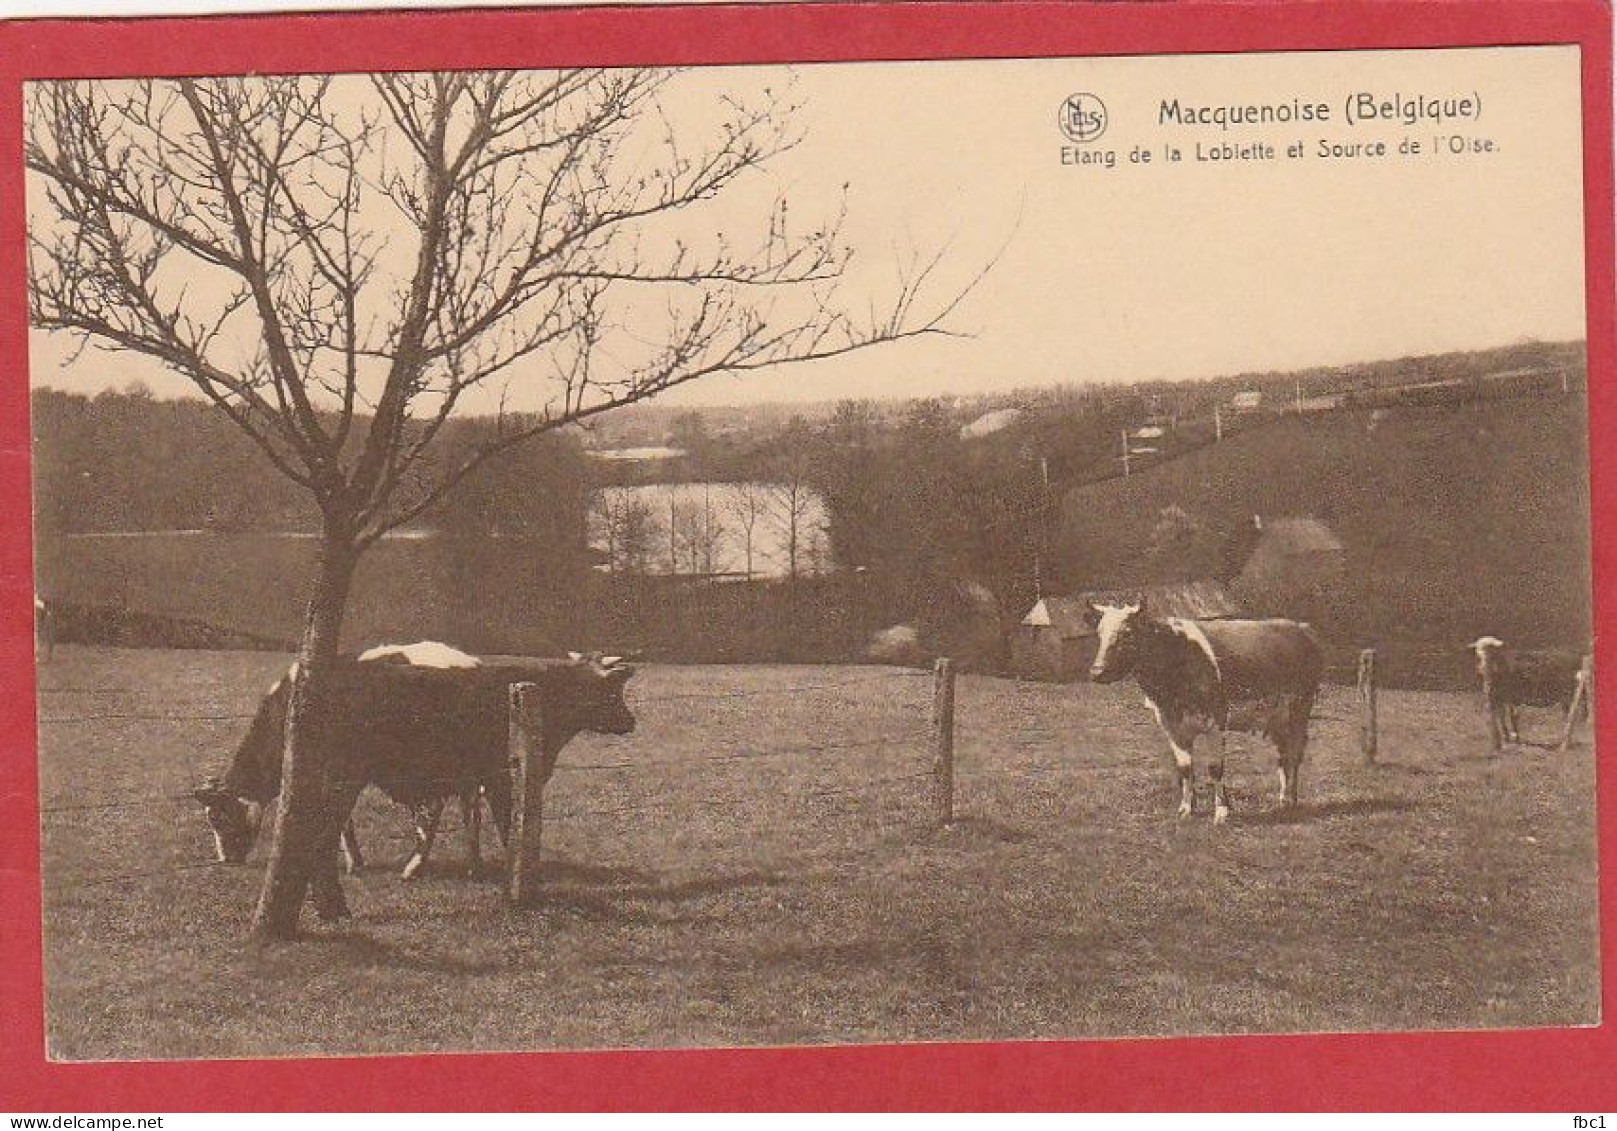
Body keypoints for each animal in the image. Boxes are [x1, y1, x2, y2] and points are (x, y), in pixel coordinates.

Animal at [192, 640, 633, 880]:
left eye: (220, 818)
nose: (227, 860)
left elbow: (342, 819)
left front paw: (349, 861)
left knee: (447, 813)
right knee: (465, 811)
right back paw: (468, 865)